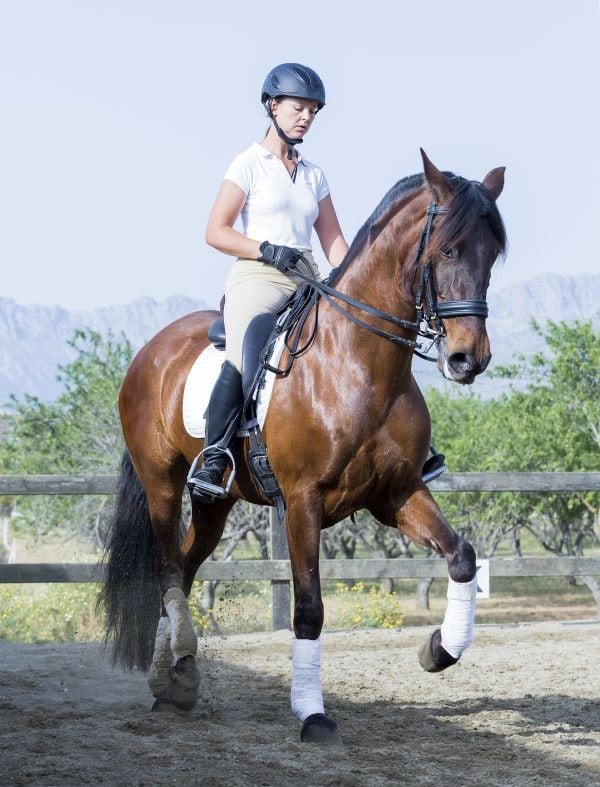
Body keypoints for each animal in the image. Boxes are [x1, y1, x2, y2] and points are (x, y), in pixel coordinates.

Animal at [99, 152, 506, 744]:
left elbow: (461, 557)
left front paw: (439, 650)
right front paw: (313, 714)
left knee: (186, 562)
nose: (467, 359)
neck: (359, 363)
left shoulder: (398, 492)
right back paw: (178, 673)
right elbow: (309, 609)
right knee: (167, 569)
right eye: (448, 250)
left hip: (215, 502)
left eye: (492, 253)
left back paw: (175, 681)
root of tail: (151, 349)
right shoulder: (302, 501)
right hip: (162, 484)